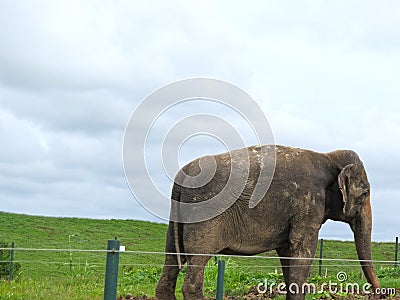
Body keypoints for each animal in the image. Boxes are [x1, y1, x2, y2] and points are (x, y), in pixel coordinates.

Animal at [155, 144, 380, 298]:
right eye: (365, 193)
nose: (380, 294)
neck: (328, 156)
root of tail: (180, 180)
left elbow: (288, 253)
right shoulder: (307, 205)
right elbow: (302, 250)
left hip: (176, 219)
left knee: (170, 261)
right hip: (204, 213)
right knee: (196, 264)